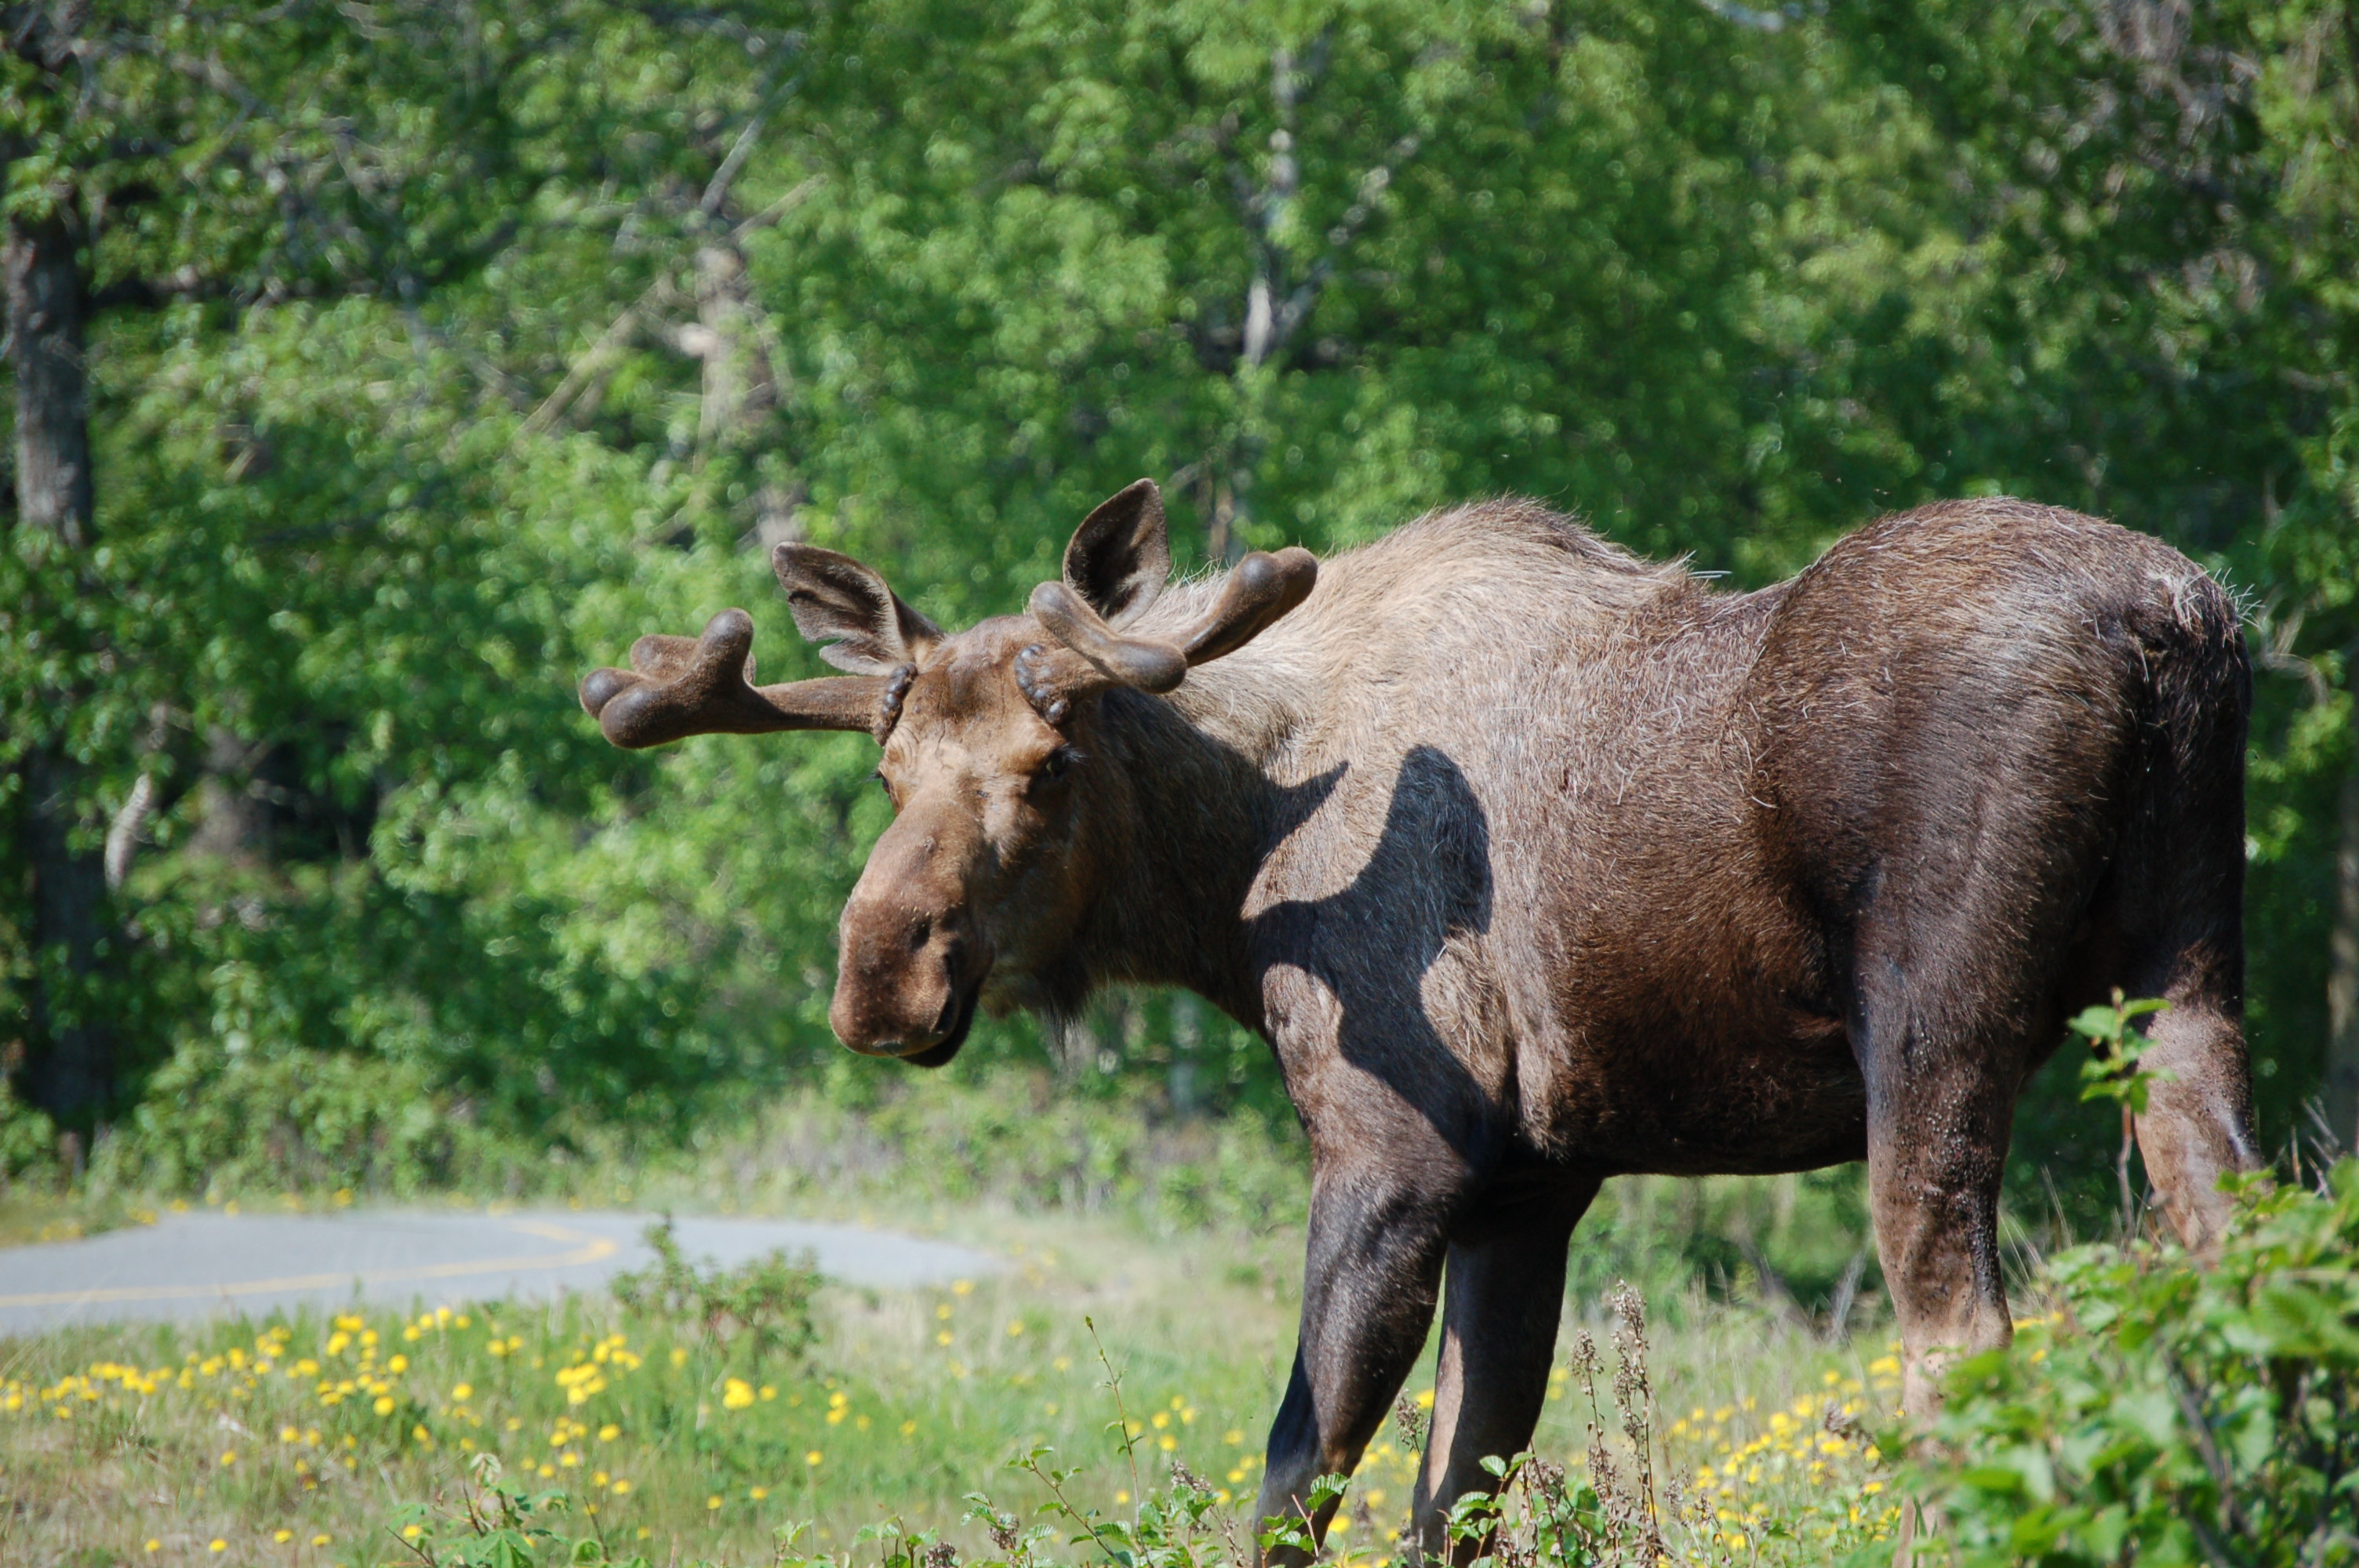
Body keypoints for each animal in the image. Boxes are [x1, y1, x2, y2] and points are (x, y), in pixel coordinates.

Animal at [580, 480, 2259, 1561]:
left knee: (1961, 1343)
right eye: (883, 769)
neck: (1229, 871)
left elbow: (1292, 1476)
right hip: (2182, 984)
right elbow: (1454, 1491)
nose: (879, 975)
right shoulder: (1529, 1188)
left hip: (1932, 1032)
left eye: (1048, 768)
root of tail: (2174, 628)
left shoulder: (1394, 1150)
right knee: (2233, 1244)